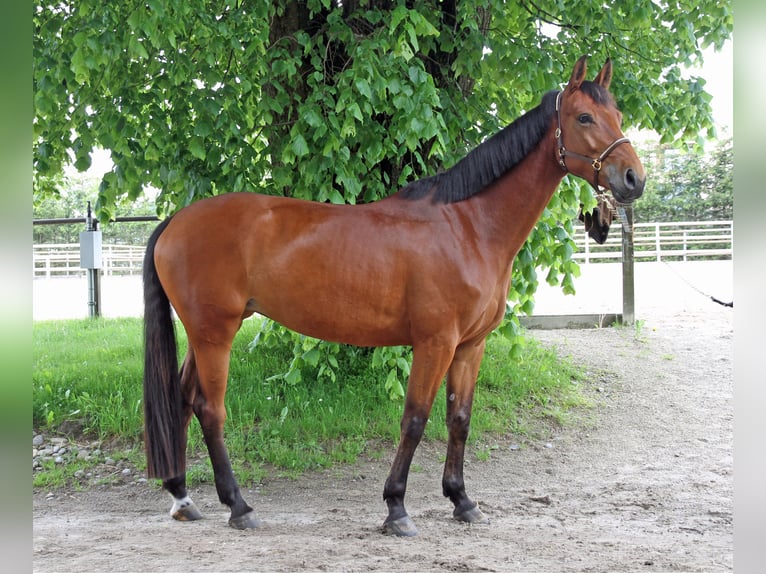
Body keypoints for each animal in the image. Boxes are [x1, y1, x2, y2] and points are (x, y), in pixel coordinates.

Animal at [144, 56, 648, 536]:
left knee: (184, 401)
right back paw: (239, 506)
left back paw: (183, 498)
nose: (633, 179)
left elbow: (459, 419)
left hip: (203, 335)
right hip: (216, 333)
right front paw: (396, 508)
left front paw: (462, 501)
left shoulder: (469, 346)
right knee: (210, 410)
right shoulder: (435, 342)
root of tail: (176, 220)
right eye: (584, 117)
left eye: (618, 115)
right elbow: (415, 419)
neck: (469, 227)